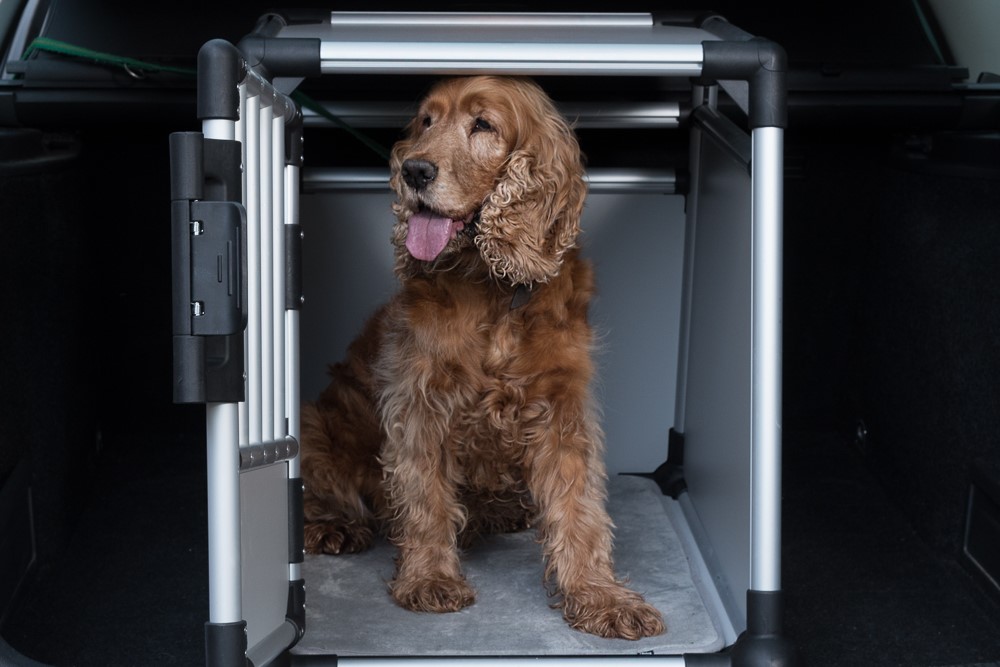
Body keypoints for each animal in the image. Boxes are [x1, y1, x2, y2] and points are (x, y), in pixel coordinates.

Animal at [300, 74, 668, 640]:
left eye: (483, 125)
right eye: (425, 121)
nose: (413, 170)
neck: (496, 292)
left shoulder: (561, 407)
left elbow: (579, 506)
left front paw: (600, 596)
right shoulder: (420, 400)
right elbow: (425, 497)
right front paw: (428, 578)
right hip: (316, 421)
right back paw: (331, 525)